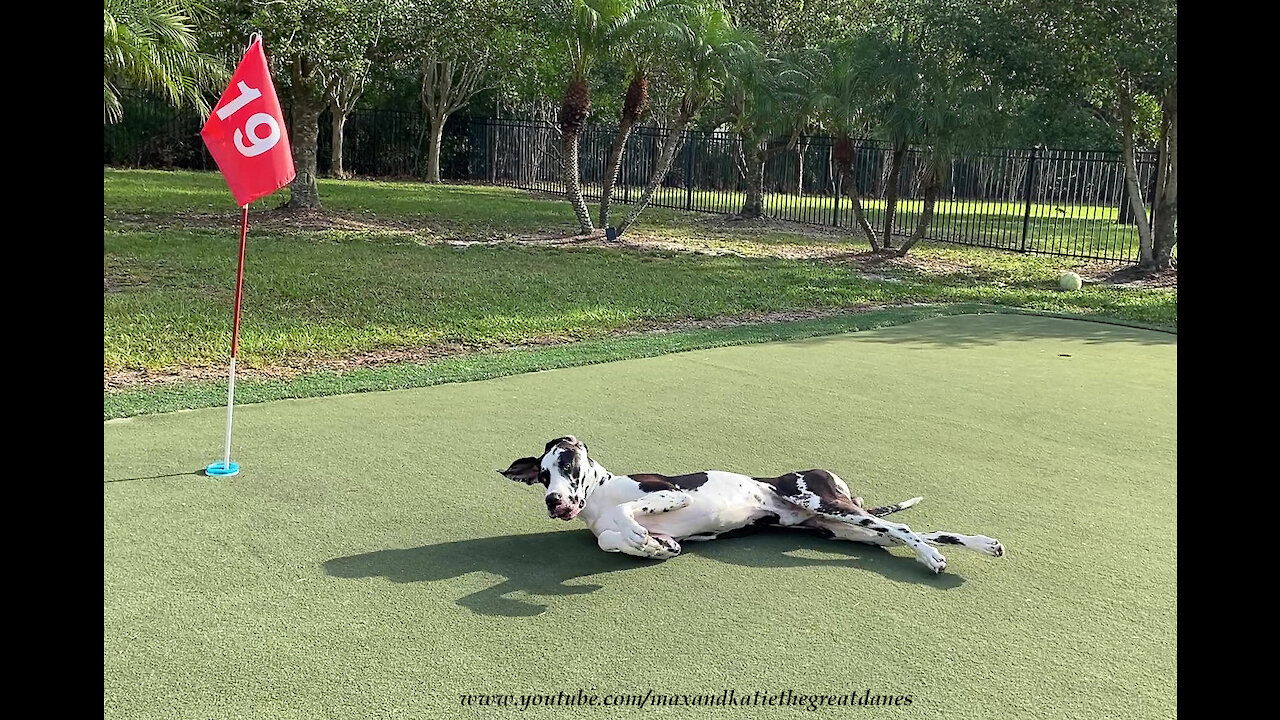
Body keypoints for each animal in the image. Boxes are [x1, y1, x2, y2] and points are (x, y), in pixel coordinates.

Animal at [494, 430, 1003, 571]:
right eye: (542, 477)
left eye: (569, 462)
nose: (555, 502)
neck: (597, 499)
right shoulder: (605, 532)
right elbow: (610, 542)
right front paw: (655, 546)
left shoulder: (670, 492)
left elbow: (632, 514)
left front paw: (642, 534)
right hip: (846, 530)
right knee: (912, 532)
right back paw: (980, 544)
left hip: (828, 504)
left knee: (904, 529)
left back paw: (935, 557)